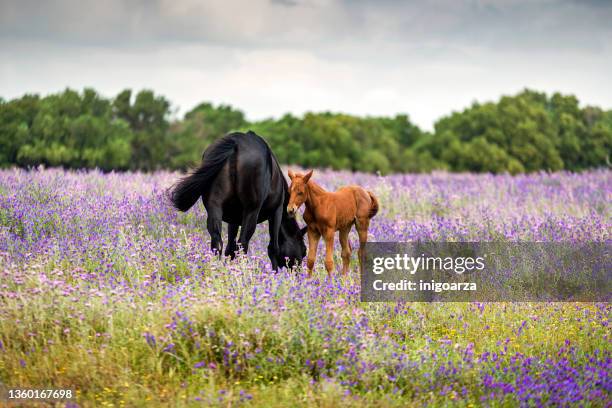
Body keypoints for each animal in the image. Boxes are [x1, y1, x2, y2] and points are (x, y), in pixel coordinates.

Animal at [170, 132, 306, 270]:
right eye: (304, 250)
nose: (298, 271)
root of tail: (236, 144)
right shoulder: (276, 212)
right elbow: (273, 248)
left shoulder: (233, 220)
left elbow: (230, 248)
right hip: (251, 211)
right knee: (243, 243)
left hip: (215, 206)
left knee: (217, 241)